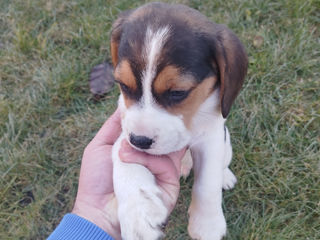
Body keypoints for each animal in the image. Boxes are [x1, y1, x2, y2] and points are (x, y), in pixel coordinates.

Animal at [110, 2, 248, 240]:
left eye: (178, 92)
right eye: (123, 85)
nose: (139, 141)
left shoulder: (212, 138)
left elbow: (207, 182)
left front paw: (207, 224)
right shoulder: (123, 134)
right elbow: (125, 165)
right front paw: (138, 213)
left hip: (227, 142)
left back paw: (225, 177)